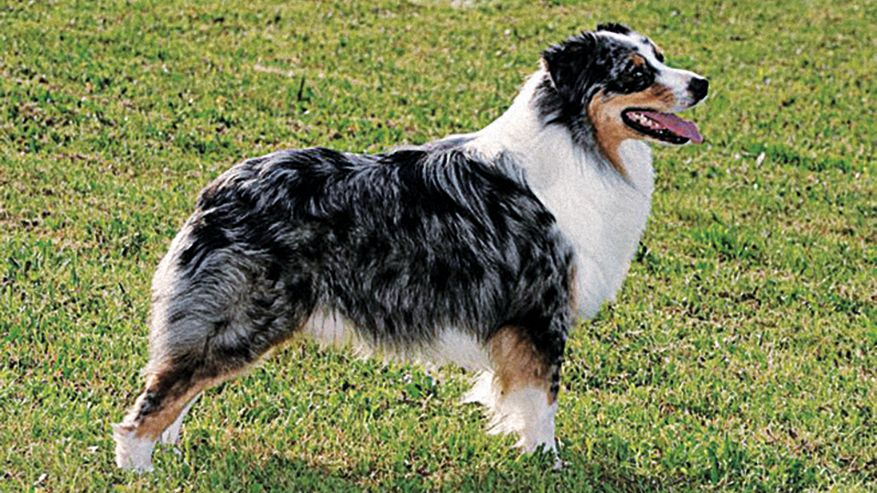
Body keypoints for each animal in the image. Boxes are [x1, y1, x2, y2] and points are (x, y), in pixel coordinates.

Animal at [114, 23, 704, 468]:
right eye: (635, 73)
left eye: (660, 56)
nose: (701, 83)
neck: (581, 145)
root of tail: (219, 189)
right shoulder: (538, 313)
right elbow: (542, 402)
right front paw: (548, 464)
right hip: (242, 320)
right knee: (155, 398)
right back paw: (138, 465)